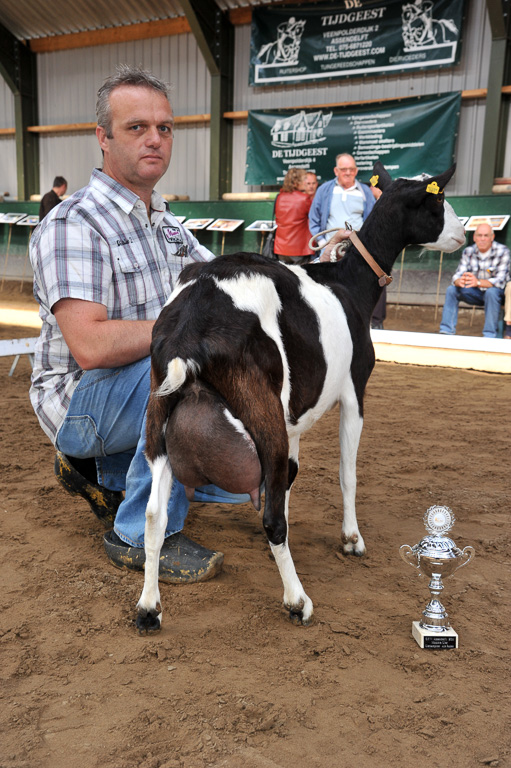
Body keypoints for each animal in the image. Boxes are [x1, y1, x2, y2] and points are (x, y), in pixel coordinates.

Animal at [138, 160, 466, 632]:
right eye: (437, 202)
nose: (462, 234)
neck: (350, 284)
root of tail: (188, 329)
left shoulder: (292, 417)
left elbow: (289, 479)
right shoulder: (355, 390)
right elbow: (347, 473)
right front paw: (351, 539)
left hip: (160, 419)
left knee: (153, 516)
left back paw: (149, 608)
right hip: (261, 415)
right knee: (270, 519)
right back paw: (297, 601)